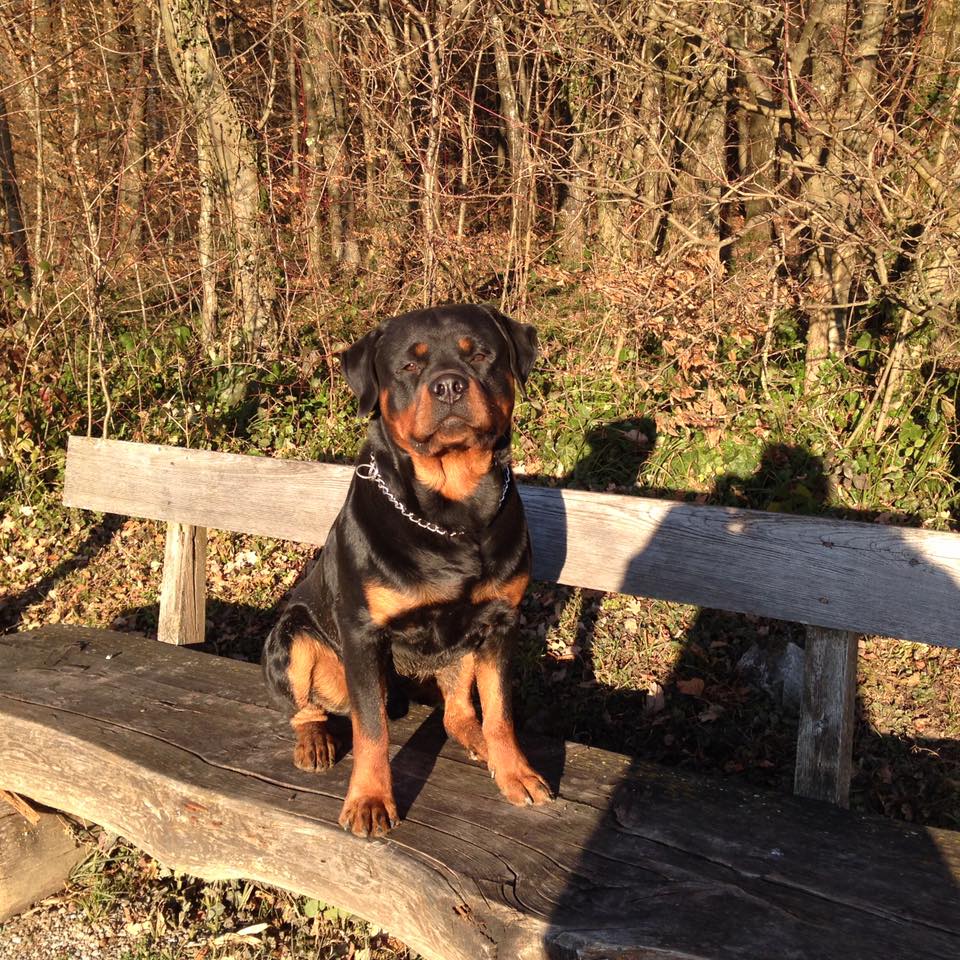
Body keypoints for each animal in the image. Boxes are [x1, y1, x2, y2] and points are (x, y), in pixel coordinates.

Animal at [260, 304, 556, 836]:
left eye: (479, 354)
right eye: (409, 366)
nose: (449, 385)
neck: (454, 513)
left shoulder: (501, 621)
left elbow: (500, 711)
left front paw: (516, 773)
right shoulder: (362, 632)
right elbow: (371, 729)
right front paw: (370, 800)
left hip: (463, 642)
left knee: (458, 712)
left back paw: (478, 741)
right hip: (292, 635)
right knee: (307, 705)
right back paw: (314, 740)